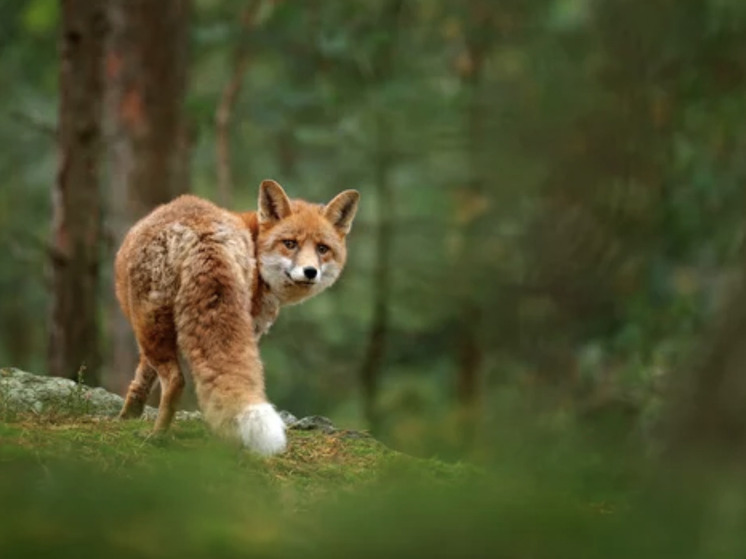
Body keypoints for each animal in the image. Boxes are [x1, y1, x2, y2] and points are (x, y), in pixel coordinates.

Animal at [113, 182, 360, 458]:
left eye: (322, 249)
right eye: (290, 244)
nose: (310, 272)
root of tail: (204, 235)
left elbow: (141, 379)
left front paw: (127, 417)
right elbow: (143, 379)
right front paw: (128, 417)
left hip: (149, 325)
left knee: (176, 381)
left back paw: (158, 436)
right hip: (153, 324)